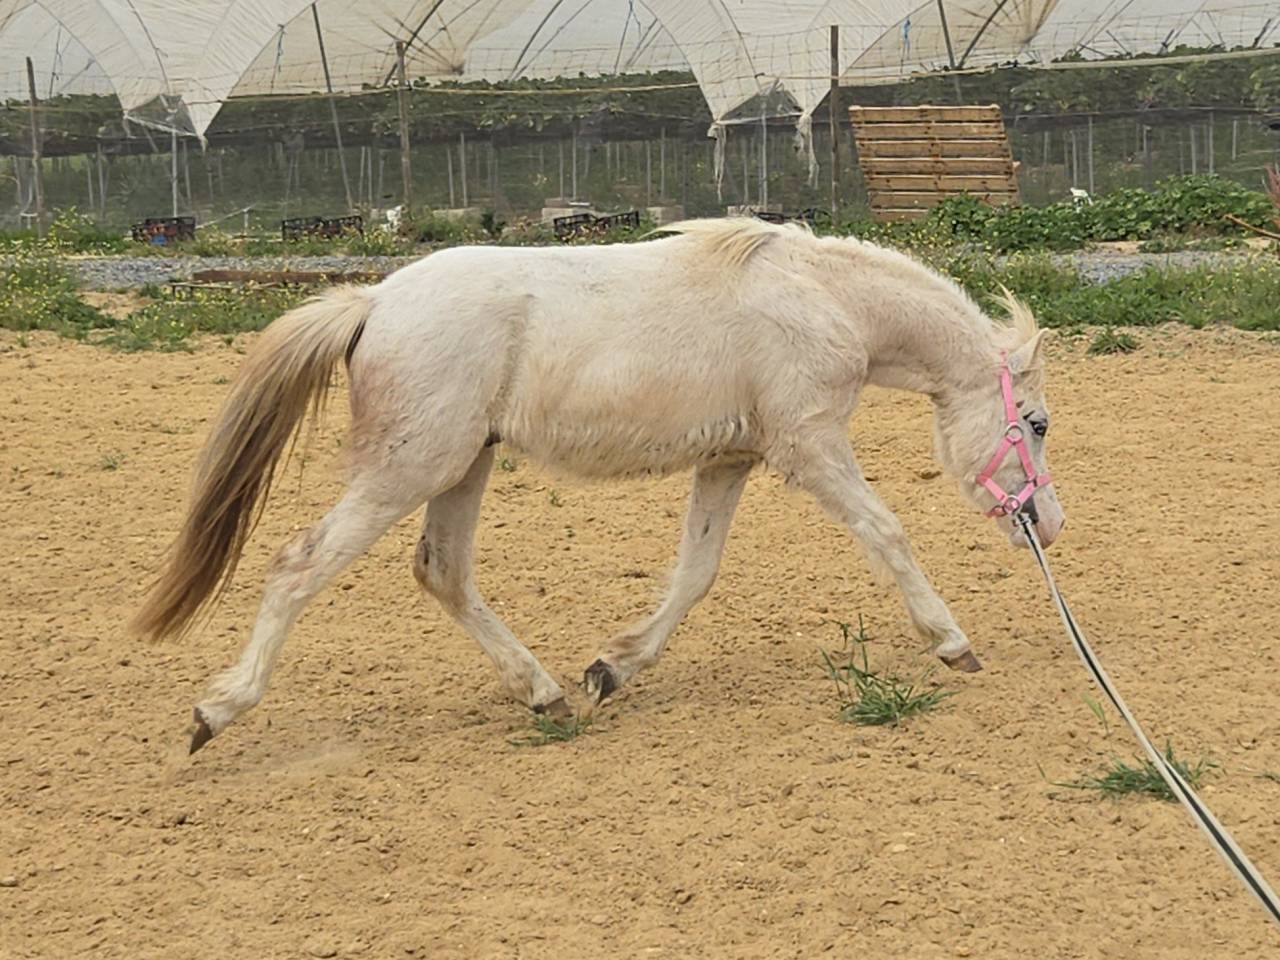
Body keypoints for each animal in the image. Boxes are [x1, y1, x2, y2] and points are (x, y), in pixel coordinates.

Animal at [133, 218, 1066, 754]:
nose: (1048, 524)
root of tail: (374, 305)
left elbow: (695, 574)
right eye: (1039, 424)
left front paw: (611, 669)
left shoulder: (730, 459)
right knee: (300, 565)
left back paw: (546, 694)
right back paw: (216, 713)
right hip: (410, 466)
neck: (822, 297)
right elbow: (886, 532)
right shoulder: (810, 445)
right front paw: (952, 642)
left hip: (463, 465)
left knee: (443, 573)